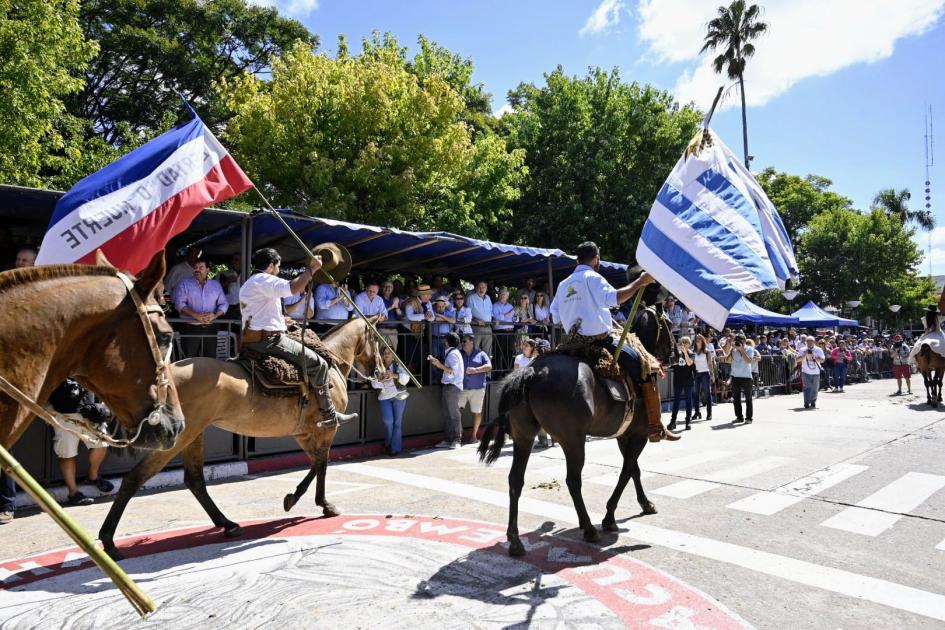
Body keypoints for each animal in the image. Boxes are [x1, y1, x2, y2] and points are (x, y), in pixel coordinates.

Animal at [98, 318, 384, 560]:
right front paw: (323, 504)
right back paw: (109, 542)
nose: (382, 370)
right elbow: (323, 464)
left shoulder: (302, 433)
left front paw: (293, 498)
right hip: (178, 439)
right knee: (135, 478)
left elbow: (315, 463)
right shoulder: (326, 429)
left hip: (195, 435)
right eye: (379, 342)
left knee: (195, 480)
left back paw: (227, 524)